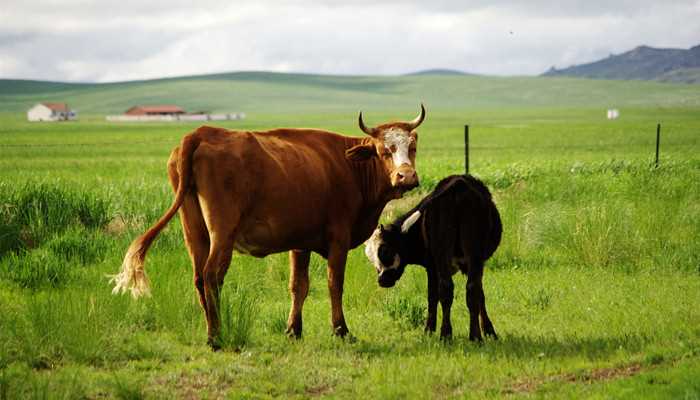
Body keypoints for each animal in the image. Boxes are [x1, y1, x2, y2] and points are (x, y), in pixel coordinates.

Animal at [110, 105, 426, 346]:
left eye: (412, 147)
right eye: (384, 150)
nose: (406, 176)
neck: (349, 167)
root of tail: (201, 133)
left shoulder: (300, 242)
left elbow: (298, 286)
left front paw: (293, 330)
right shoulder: (338, 238)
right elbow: (334, 284)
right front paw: (341, 330)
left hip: (194, 231)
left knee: (199, 277)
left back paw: (211, 330)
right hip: (222, 232)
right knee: (212, 276)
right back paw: (216, 336)